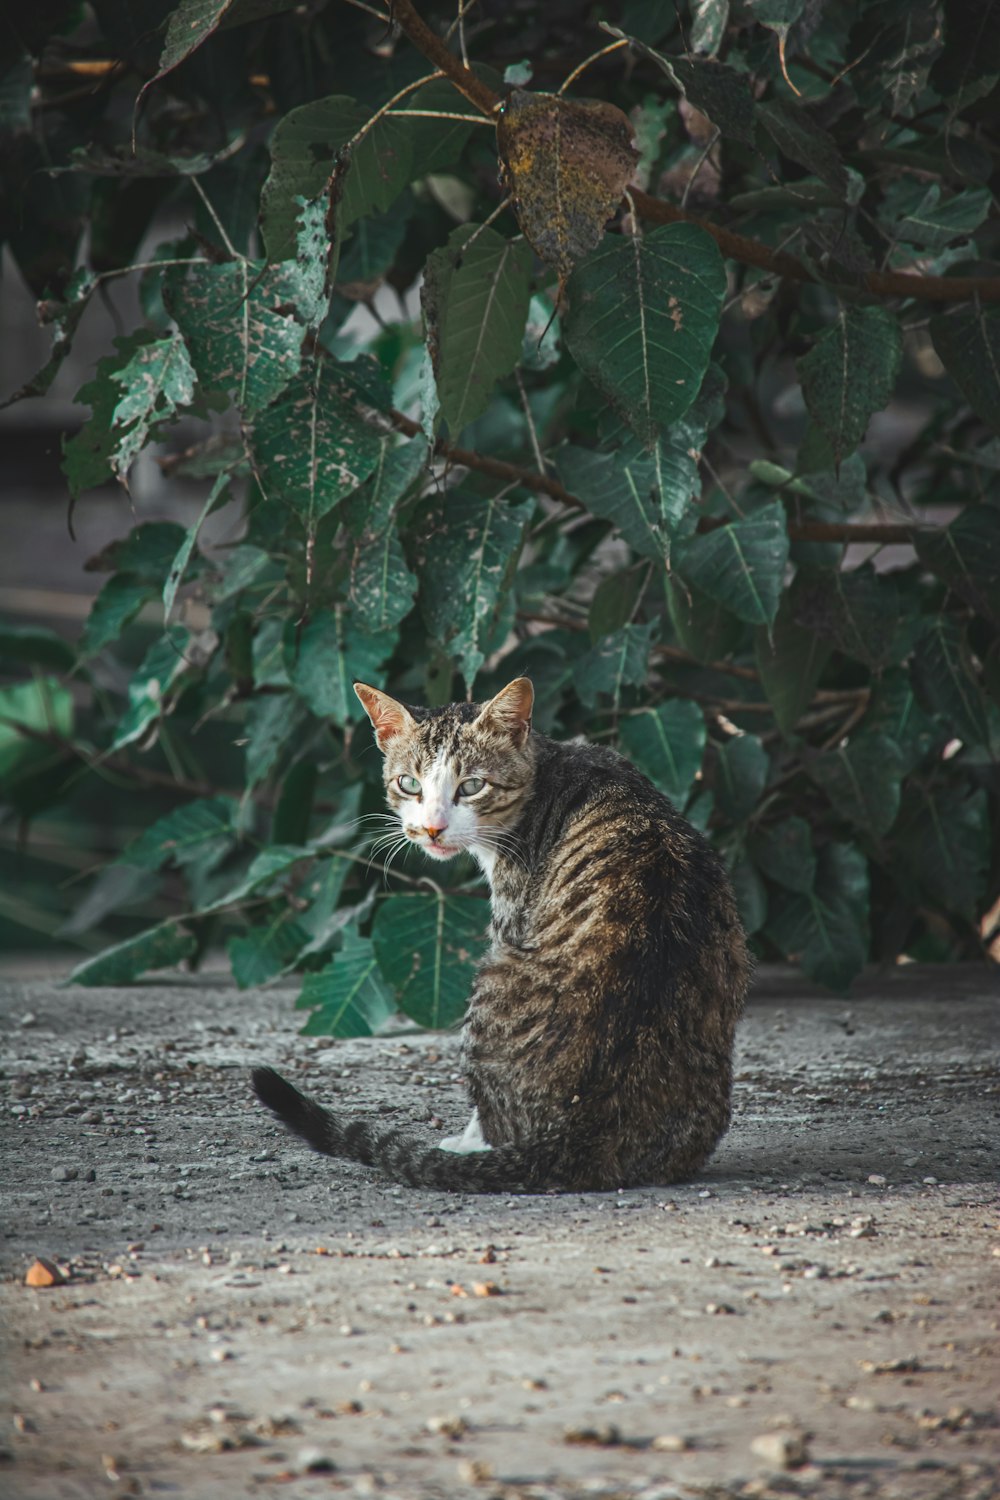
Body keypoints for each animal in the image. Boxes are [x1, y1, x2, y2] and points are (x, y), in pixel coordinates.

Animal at [254, 681, 755, 1194]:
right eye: (409, 784)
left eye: (472, 786)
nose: (432, 828)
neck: (548, 771)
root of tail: (585, 1131)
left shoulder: (511, 913)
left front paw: (463, 1140)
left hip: (491, 976)